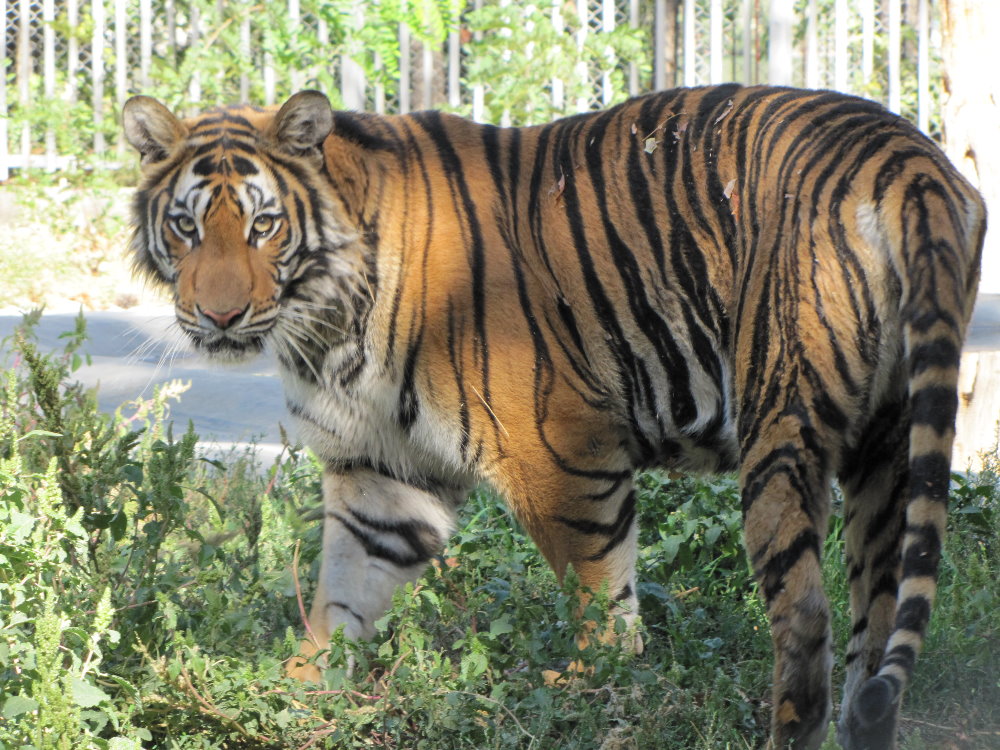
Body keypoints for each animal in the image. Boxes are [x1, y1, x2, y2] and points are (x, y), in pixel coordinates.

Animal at [122, 83, 985, 749]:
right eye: (186, 226)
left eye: (263, 226)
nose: (220, 316)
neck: (325, 321)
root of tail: (905, 157)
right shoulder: (383, 475)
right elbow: (342, 595)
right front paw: (299, 693)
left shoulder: (564, 455)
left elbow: (601, 603)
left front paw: (599, 696)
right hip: (889, 447)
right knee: (875, 625)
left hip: (781, 422)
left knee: (804, 618)